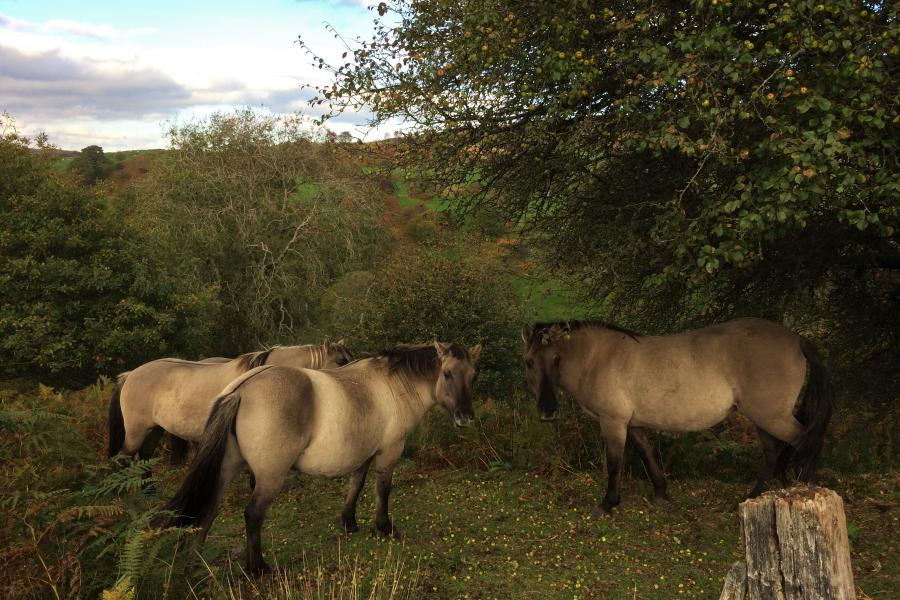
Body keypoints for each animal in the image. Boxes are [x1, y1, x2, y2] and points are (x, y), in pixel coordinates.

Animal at [107, 340, 354, 466]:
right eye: (341, 361)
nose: (354, 382)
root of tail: (130, 375)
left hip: (155, 429)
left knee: (145, 457)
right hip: (136, 431)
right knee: (124, 458)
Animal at [162, 342, 486, 572]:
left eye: (473, 376)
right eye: (447, 374)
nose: (466, 417)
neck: (393, 385)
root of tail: (242, 389)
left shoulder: (364, 453)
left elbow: (356, 484)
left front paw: (349, 522)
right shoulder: (389, 451)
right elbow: (383, 489)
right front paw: (385, 527)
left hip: (226, 469)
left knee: (209, 510)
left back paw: (196, 563)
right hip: (269, 477)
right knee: (253, 515)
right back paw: (259, 568)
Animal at [524, 318, 832, 516]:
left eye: (556, 359)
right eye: (528, 362)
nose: (547, 411)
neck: (599, 357)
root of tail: (797, 339)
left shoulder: (613, 422)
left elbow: (614, 463)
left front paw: (608, 503)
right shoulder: (632, 423)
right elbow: (646, 452)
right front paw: (661, 493)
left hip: (771, 416)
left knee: (805, 442)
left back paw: (802, 486)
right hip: (764, 418)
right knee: (773, 451)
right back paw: (756, 496)